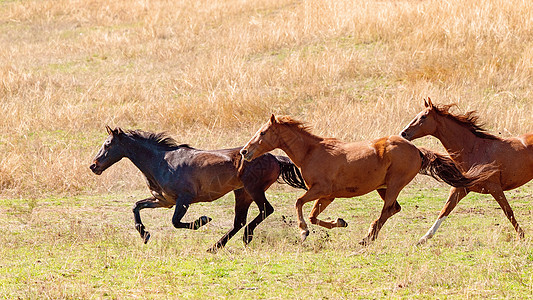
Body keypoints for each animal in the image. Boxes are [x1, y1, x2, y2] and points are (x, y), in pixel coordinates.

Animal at [90, 125, 306, 252]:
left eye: (107, 144)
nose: (93, 166)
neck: (162, 162)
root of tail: (275, 157)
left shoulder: (184, 200)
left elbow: (176, 222)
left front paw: (203, 220)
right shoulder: (163, 200)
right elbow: (136, 206)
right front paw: (145, 235)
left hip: (253, 190)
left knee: (265, 210)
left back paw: (245, 237)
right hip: (242, 192)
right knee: (239, 221)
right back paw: (215, 247)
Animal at [239, 114, 492, 244]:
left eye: (263, 133)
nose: (244, 151)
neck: (311, 152)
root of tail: (416, 150)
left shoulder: (321, 190)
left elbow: (299, 203)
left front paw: (303, 232)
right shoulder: (328, 196)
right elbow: (313, 216)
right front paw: (339, 222)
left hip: (394, 184)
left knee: (388, 209)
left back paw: (368, 237)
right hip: (383, 187)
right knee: (393, 209)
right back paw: (368, 235)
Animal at [402, 99, 528, 245]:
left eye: (423, 116)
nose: (403, 133)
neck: (474, 149)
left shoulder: (495, 188)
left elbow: (508, 211)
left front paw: (521, 236)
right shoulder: (461, 188)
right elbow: (444, 211)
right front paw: (423, 239)